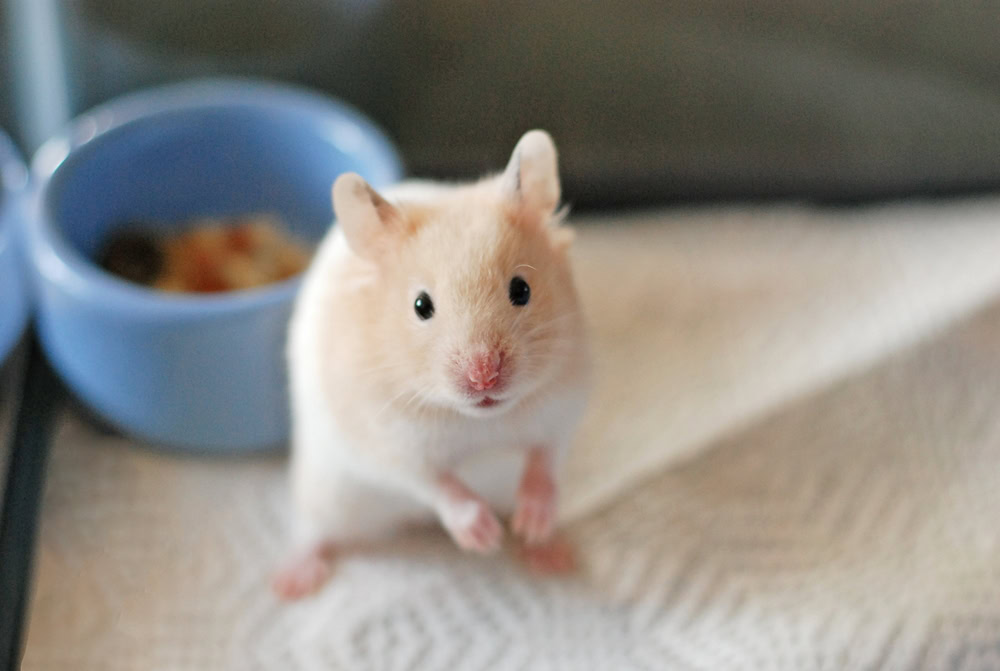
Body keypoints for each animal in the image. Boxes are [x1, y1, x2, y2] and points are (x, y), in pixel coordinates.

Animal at [273, 130, 590, 600]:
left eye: (522, 289)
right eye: (421, 306)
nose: (484, 377)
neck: (479, 420)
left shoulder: (565, 410)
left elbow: (544, 460)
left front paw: (531, 523)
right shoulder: (388, 446)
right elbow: (438, 485)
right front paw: (482, 538)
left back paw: (551, 554)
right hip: (323, 495)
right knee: (311, 534)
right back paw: (291, 583)